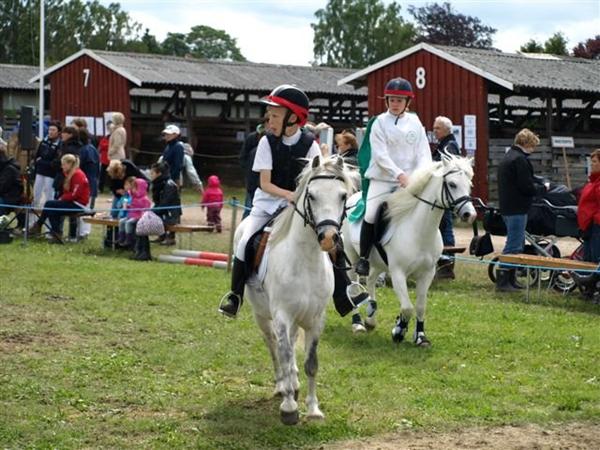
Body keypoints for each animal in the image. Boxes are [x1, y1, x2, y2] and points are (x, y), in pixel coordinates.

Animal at [237, 156, 354, 426]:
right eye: (311, 195)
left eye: (343, 195)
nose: (328, 238)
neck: (306, 260)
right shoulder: (282, 316)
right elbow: (284, 355)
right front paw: (289, 408)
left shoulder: (315, 319)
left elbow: (311, 363)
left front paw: (313, 409)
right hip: (262, 315)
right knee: (274, 346)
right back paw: (283, 385)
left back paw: (294, 383)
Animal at [342, 155, 478, 344]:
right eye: (452, 184)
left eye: (470, 184)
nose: (469, 215)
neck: (419, 231)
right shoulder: (398, 272)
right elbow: (407, 307)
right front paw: (399, 330)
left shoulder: (427, 273)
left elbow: (420, 306)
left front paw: (420, 336)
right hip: (352, 257)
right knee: (354, 289)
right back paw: (358, 324)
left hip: (377, 263)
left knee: (370, 280)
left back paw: (371, 317)